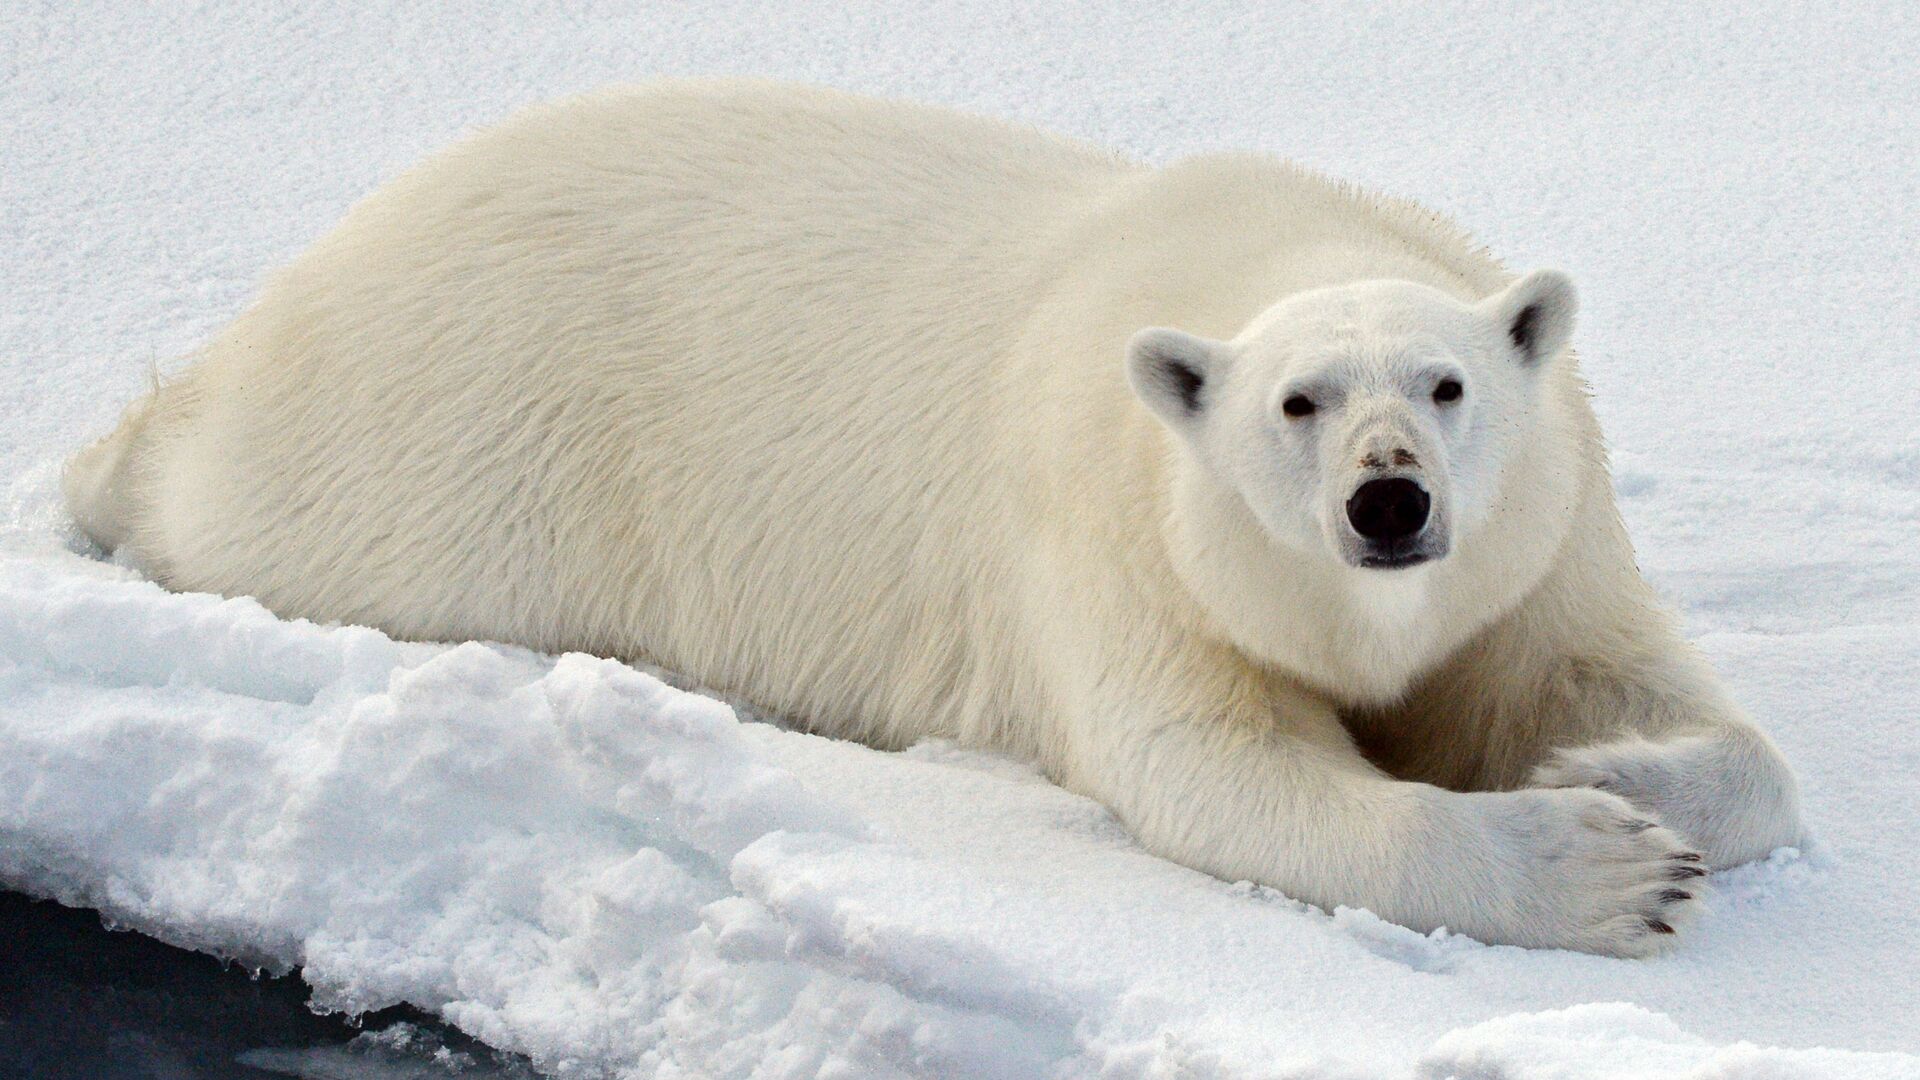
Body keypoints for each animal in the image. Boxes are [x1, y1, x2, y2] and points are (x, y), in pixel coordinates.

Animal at [60, 77, 1797, 949]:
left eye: (1446, 386)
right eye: (1297, 404)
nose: (1387, 503)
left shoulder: (1541, 546)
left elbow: (1650, 700)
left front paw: (1606, 766)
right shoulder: (1112, 539)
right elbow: (1217, 774)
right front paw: (1606, 868)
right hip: (458, 448)